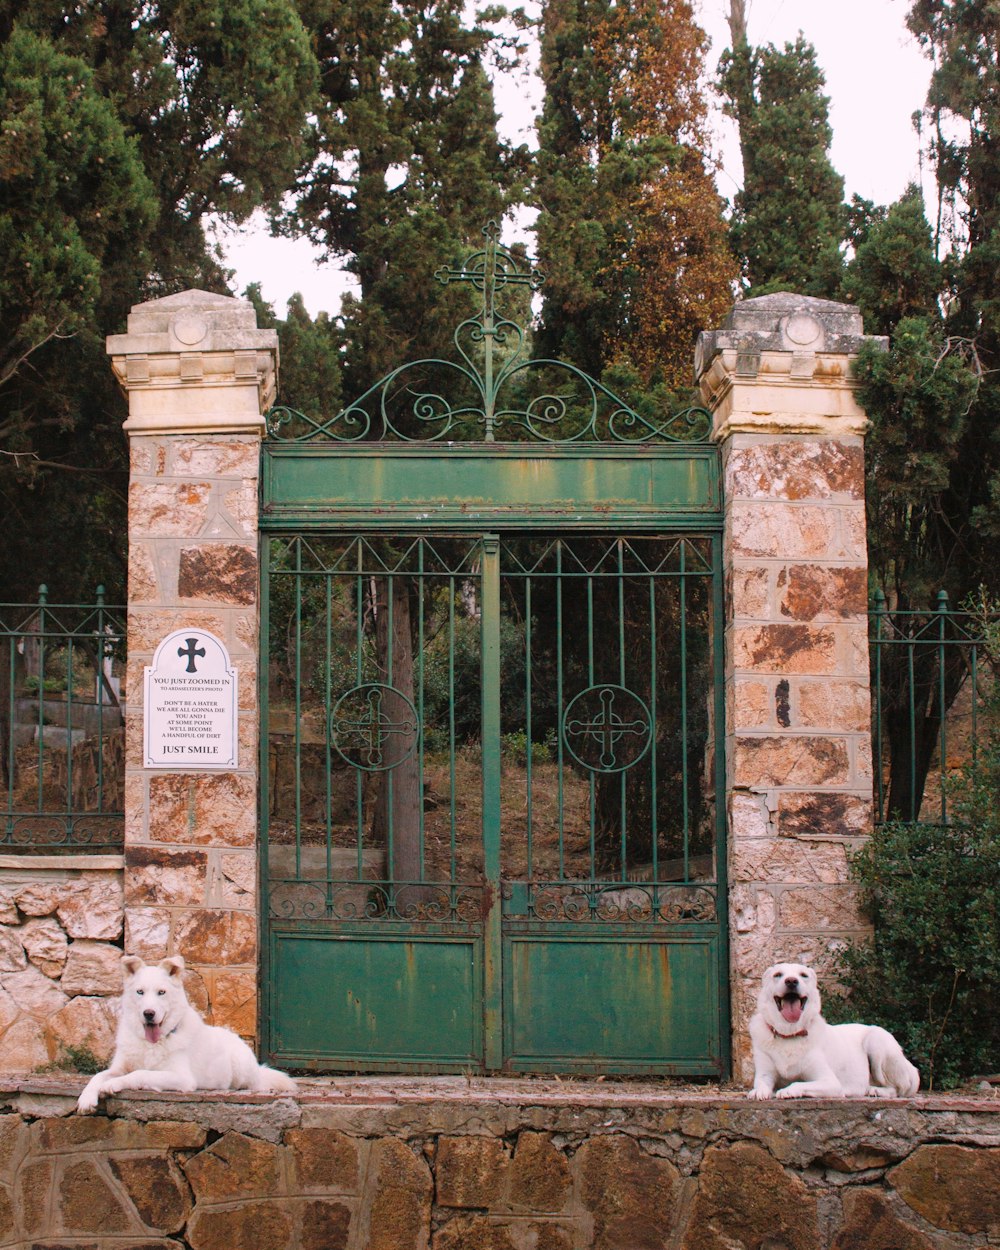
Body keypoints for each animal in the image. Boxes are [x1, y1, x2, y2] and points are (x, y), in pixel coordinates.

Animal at [76, 955, 295, 1115]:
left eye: (161, 992)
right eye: (140, 992)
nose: (149, 1013)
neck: (151, 1044)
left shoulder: (182, 1078)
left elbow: (140, 1073)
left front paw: (112, 1084)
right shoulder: (118, 1067)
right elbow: (97, 1076)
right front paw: (86, 1099)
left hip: (241, 1068)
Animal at [745, 960, 920, 1100]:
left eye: (803, 975)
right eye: (778, 974)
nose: (791, 981)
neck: (789, 1033)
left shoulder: (830, 1082)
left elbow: (798, 1083)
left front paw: (788, 1091)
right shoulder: (765, 1073)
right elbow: (761, 1083)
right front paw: (759, 1091)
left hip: (877, 1043)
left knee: (896, 1088)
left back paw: (875, 1090)